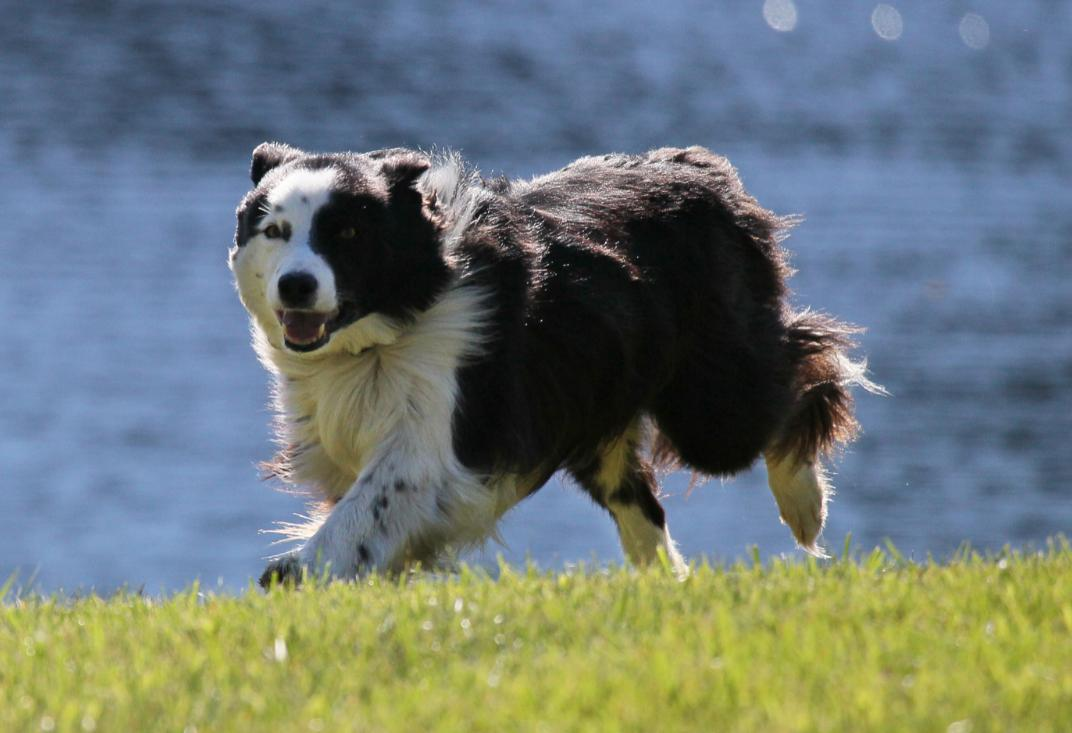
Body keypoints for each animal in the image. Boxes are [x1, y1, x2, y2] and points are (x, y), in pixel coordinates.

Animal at [230, 143, 874, 582]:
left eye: (346, 234)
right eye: (274, 230)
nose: (295, 286)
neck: (386, 331)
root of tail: (697, 167)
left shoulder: (439, 428)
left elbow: (373, 503)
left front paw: (295, 573)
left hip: (711, 405)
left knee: (800, 370)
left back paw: (805, 507)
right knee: (635, 497)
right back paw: (666, 584)